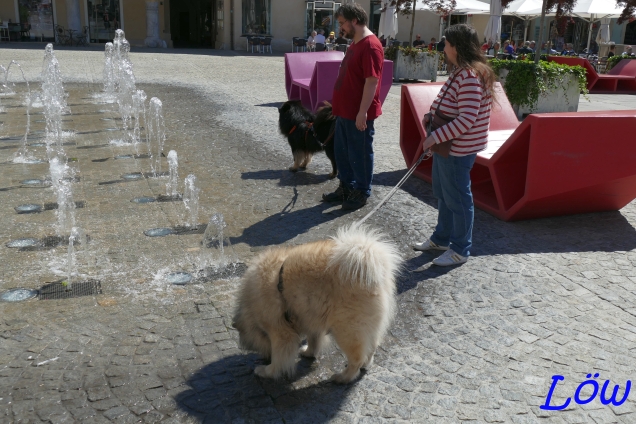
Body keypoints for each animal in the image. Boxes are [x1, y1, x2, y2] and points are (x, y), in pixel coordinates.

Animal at [232, 225, 402, 384]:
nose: (263, 357)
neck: (250, 306)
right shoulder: (310, 317)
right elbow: (313, 340)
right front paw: (308, 352)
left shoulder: (280, 331)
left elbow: (279, 357)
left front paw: (267, 371)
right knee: (371, 347)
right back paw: (365, 365)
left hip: (347, 329)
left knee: (356, 358)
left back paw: (343, 377)